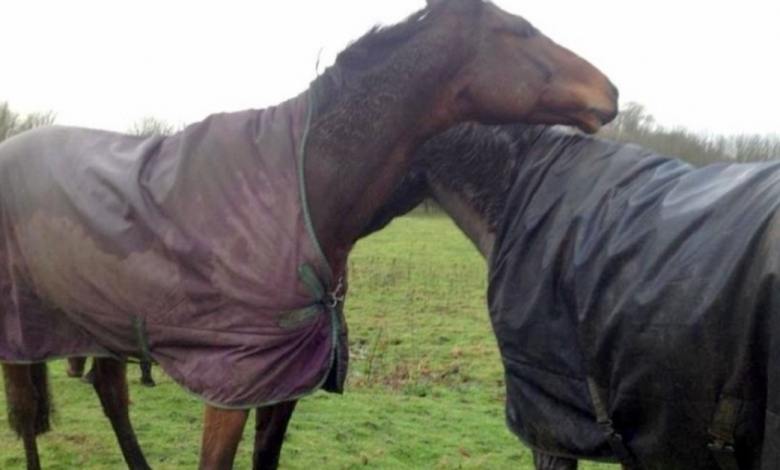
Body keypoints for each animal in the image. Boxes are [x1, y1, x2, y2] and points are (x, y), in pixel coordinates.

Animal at [0, 0, 618, 468]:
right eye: (522, 30)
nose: (610, 93)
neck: (304, 193)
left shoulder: (283, 384)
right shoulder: (232, 385)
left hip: (100, 322)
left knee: (109, 397)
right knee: (27, 416)